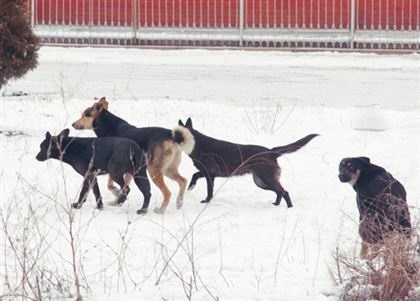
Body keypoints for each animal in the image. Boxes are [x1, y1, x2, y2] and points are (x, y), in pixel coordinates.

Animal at [177, 116, 318, 206]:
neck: (197, 144)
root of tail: (271, 151)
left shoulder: (210, 175)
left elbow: (209, 191)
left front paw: (206, 201)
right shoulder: (208, 173)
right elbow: (195, 175)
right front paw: (191, 186)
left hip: (265, 179)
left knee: (285, 192)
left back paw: (289, 208)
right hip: (260, 182)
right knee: (280, 192)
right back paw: (276, 205)